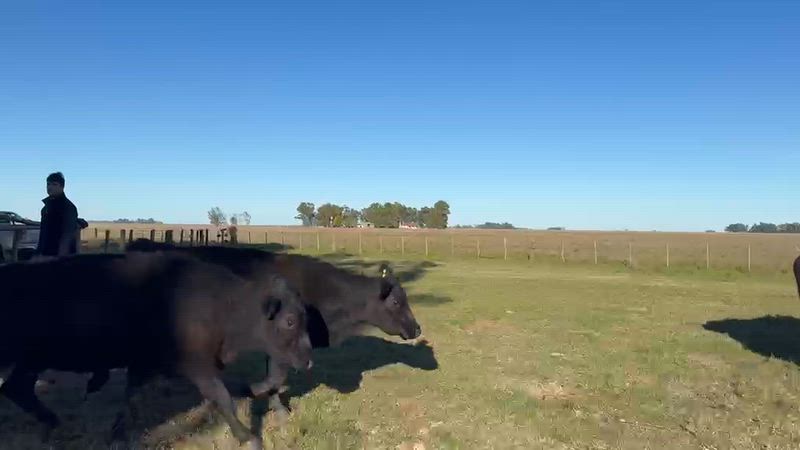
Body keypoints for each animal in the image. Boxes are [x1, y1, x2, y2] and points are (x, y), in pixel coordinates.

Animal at [0, 251, 313, 450]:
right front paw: (248, 437)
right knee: (15, 389)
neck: (221, 304)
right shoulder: (196, 367)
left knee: (16, 389)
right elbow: (222, 398)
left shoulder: (147, 364)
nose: (308, 361)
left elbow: (132, 398)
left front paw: (118, 434)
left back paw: (53, 422)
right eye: (289, 320)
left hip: (30, 361)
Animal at [119, 239, 423, 419]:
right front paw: (258, 395)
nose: (417, 329)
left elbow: (274, 379)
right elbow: (274, 379)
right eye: (397, 302)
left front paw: (276, 408)